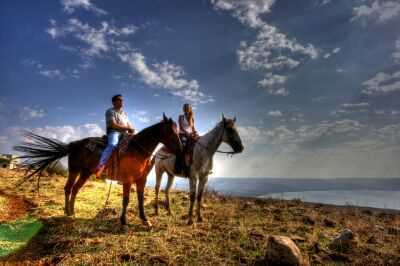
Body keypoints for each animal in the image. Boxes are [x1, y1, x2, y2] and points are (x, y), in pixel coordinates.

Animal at [14, 114, 183, 227]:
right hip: (74, 170)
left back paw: (72, 212)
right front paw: (123, 221)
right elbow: (126, 200)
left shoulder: (141, 179)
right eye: (170, 131)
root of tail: (72, 144)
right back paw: (67, 212)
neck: (138, 149)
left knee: (75, 189)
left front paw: (145, 220)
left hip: (85, 172)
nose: (181, 148)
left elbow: (140, 199)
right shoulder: (128, 179)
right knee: (68, 188)